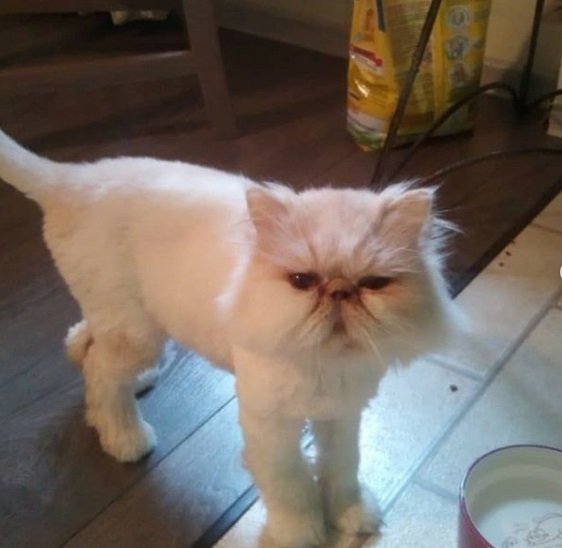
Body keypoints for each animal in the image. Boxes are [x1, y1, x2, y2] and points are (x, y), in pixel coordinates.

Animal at [0, 131, 460, 544]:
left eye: (374, 284)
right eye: (302, 281)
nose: (340, 291)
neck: (326, 364)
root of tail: (70, 178)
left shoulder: (343, 415)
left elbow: (342, 468)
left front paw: (351, 515)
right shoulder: (270, 426)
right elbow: (292, 487)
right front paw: (300, 535)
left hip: (126, 323)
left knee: (88, 345)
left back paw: (127, 378)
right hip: (137, 333)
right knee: (101, 375)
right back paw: (126, 438)